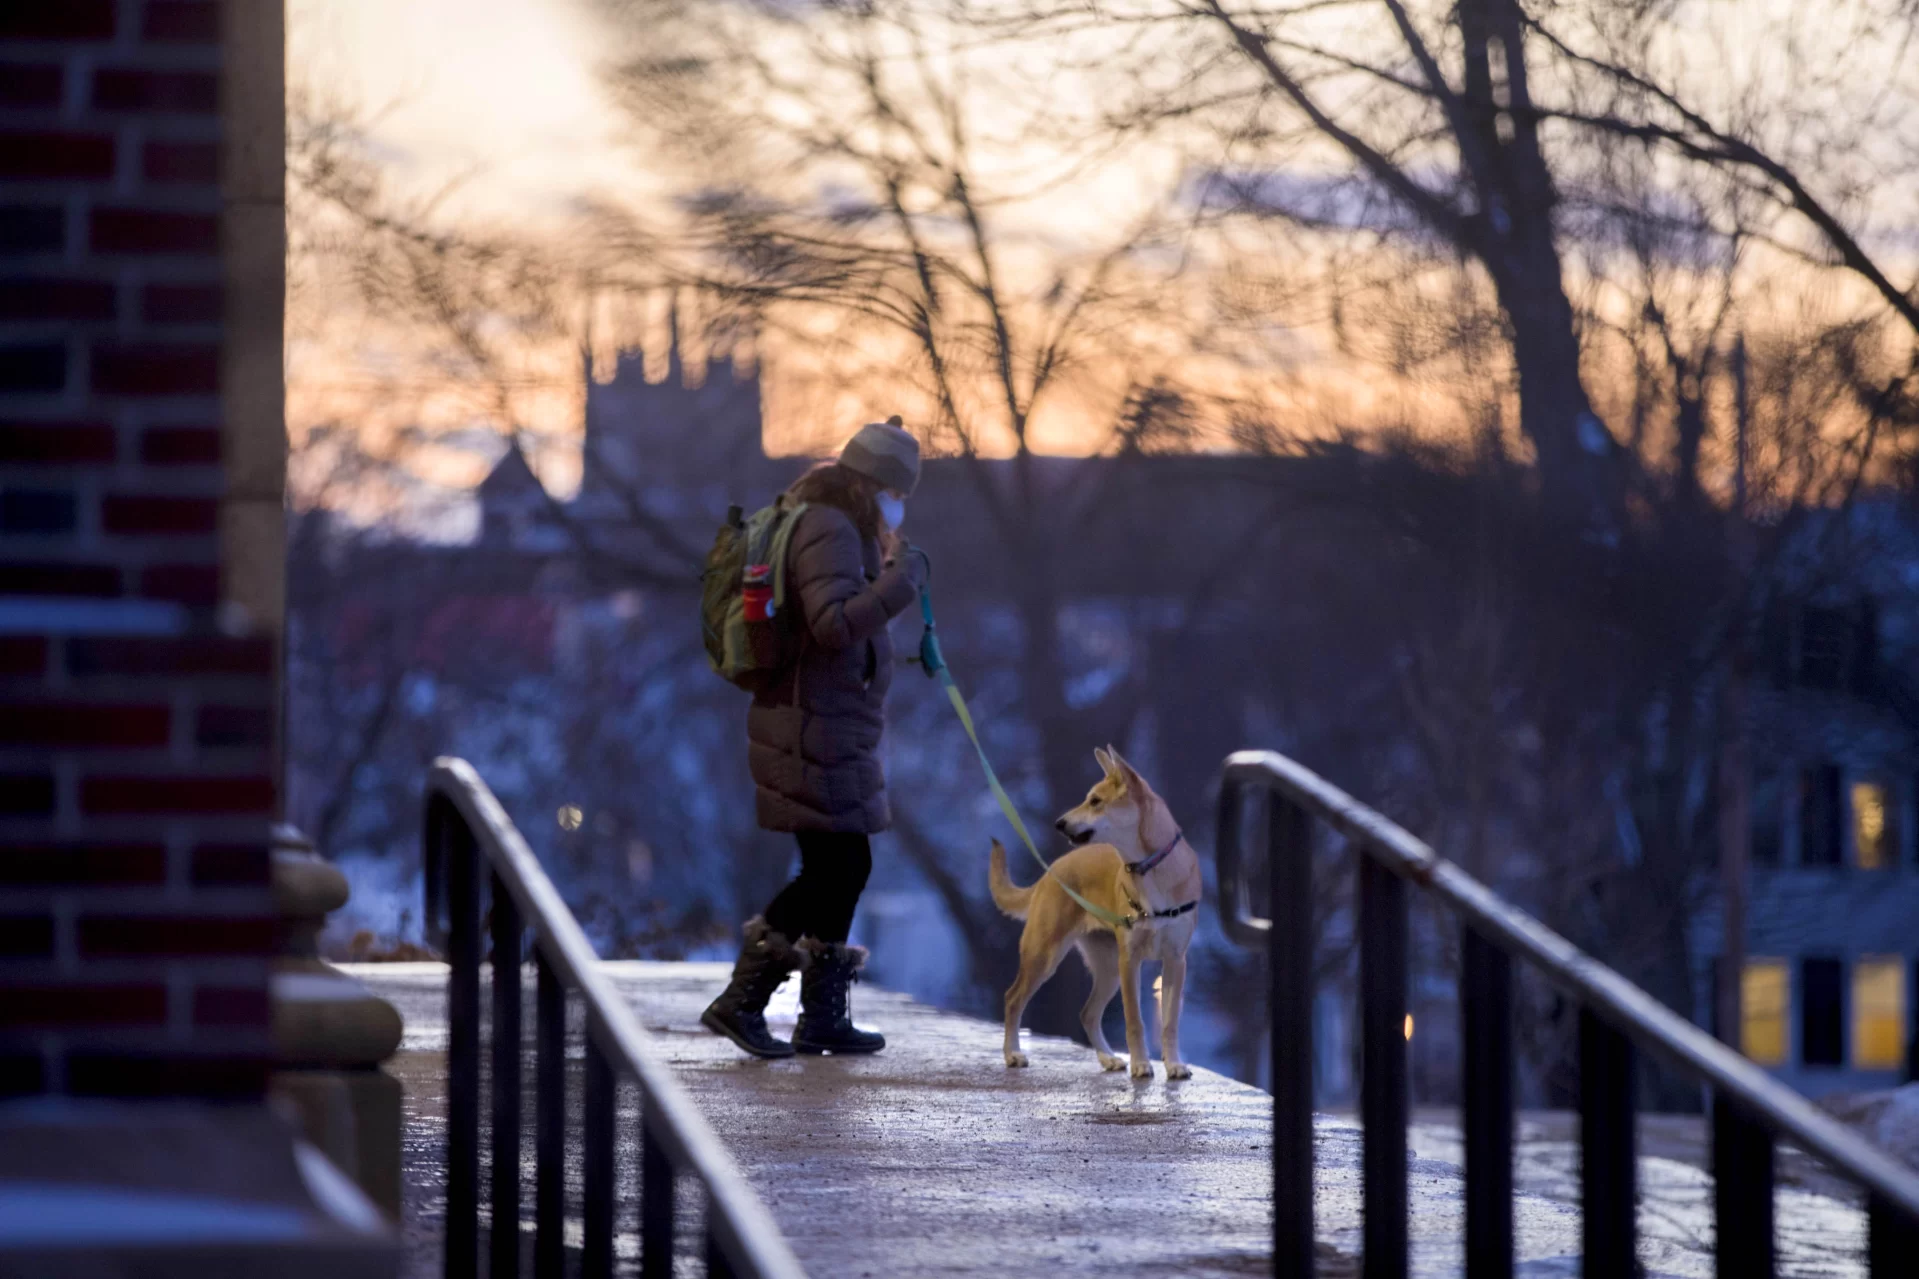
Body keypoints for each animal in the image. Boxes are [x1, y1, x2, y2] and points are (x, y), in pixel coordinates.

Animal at [990, 748, 1197, 1075]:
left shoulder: (1176, 961)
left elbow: (1170, 1022)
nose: (1059, 823)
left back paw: (1109, 1058)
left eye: (1096, 801)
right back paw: (1013, 1054)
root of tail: (1052, 870)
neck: (1150, 868)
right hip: (1044, 955)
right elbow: (1135, 1020)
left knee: (1087, 1013)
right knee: (1013, 999)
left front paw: (1174, 1064)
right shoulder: (1130, 960)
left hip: (1107, 968)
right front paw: (1141, 1064)